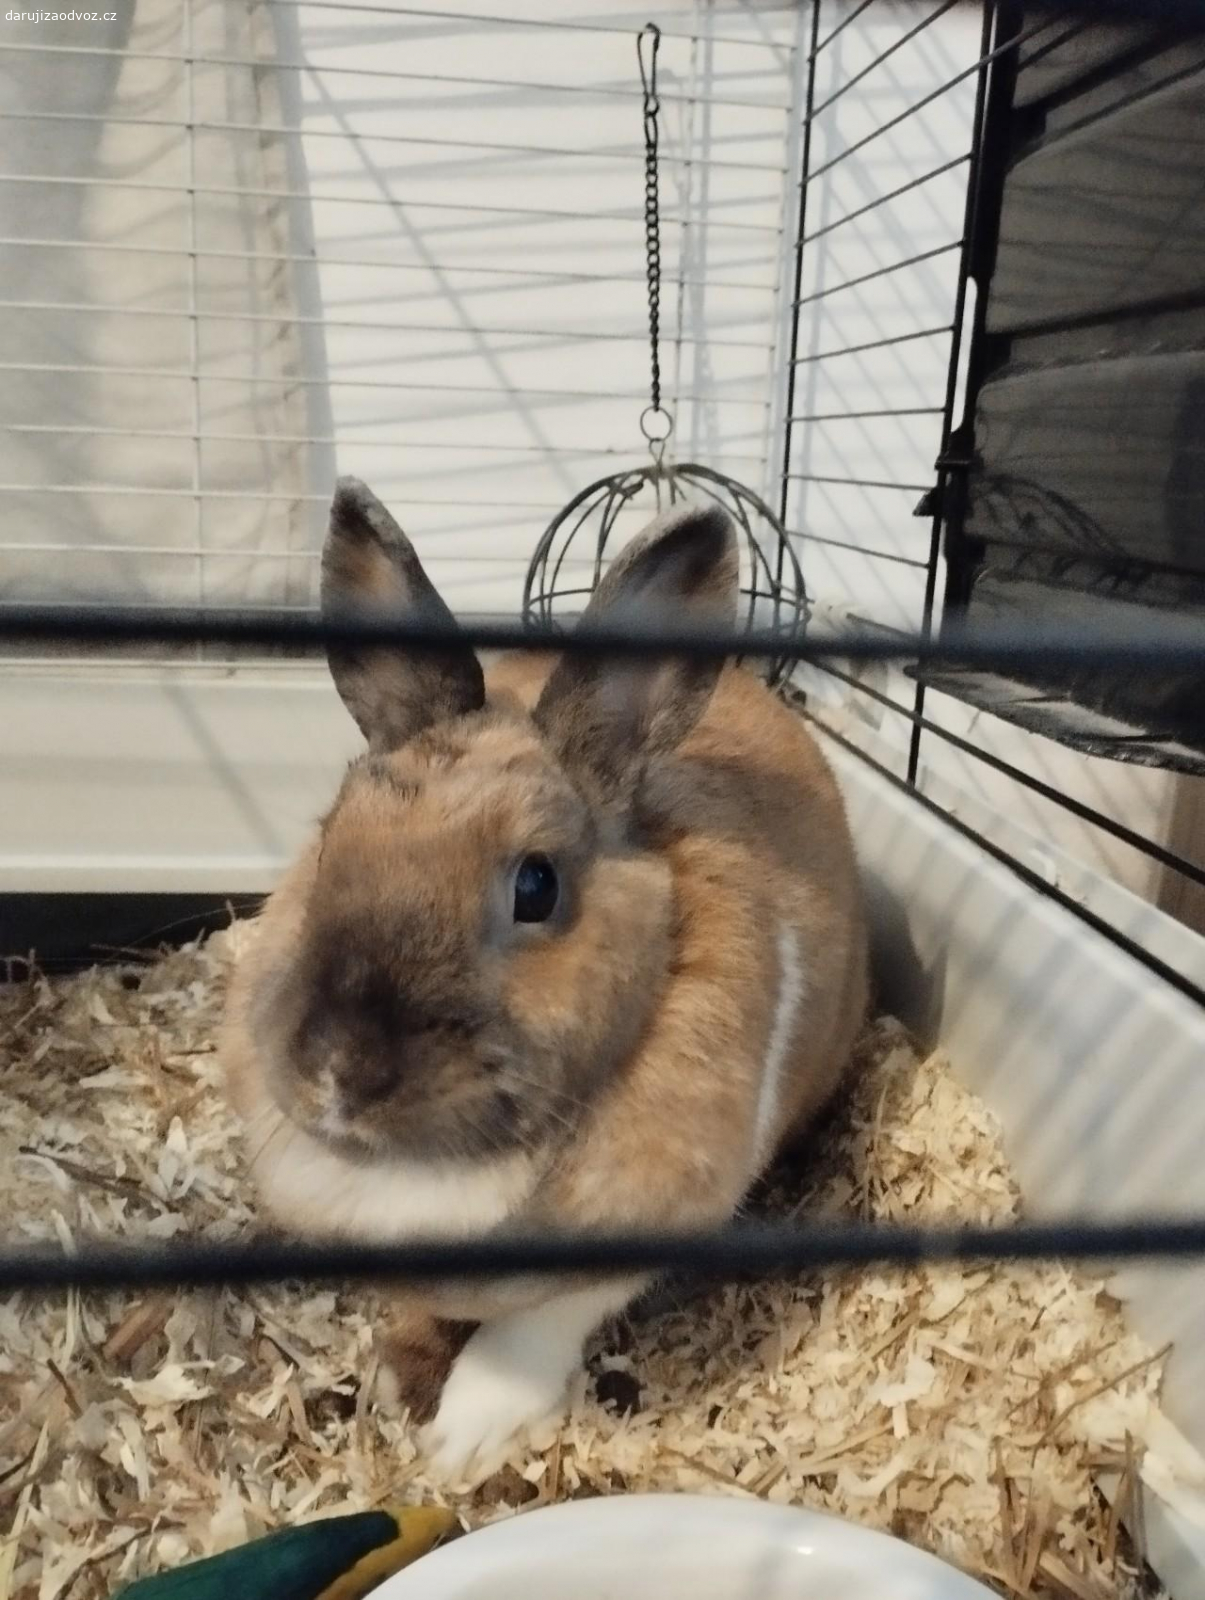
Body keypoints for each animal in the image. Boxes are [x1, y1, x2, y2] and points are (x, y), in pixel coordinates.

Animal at [222, 476, 869, 1487]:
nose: (338, 1072)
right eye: (329, 843)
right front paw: (399, 1380)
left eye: (537, 886)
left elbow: (529, 1334)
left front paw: (459, 1438)